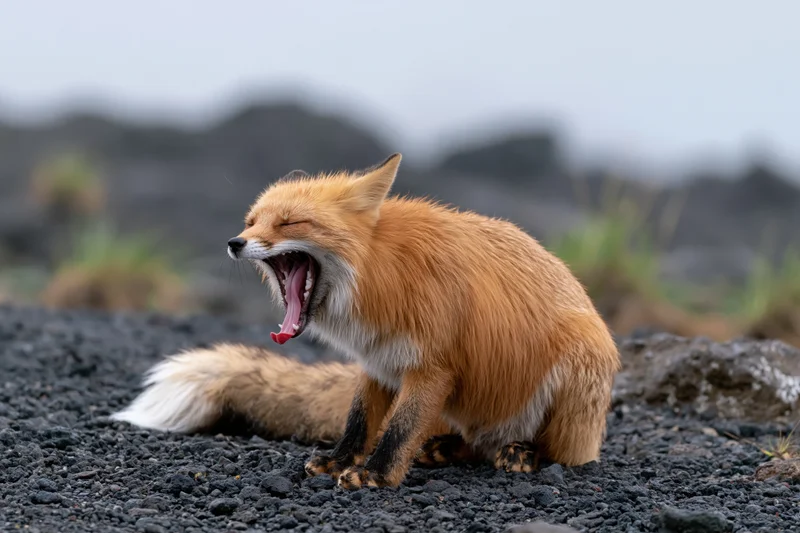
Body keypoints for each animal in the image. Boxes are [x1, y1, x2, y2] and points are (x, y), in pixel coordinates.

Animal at [111, 153, 621, 489]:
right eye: (252, 221)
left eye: (290, 223)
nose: (235, 242)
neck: (378, 275)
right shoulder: (378, 362)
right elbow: (359, 421)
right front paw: (340, 462)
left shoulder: (432, 368)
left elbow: (398, 431)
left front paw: (374, 475)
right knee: (471, 441)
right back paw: (449, 448)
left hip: (576, 373)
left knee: (563, 454)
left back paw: (525, 453)